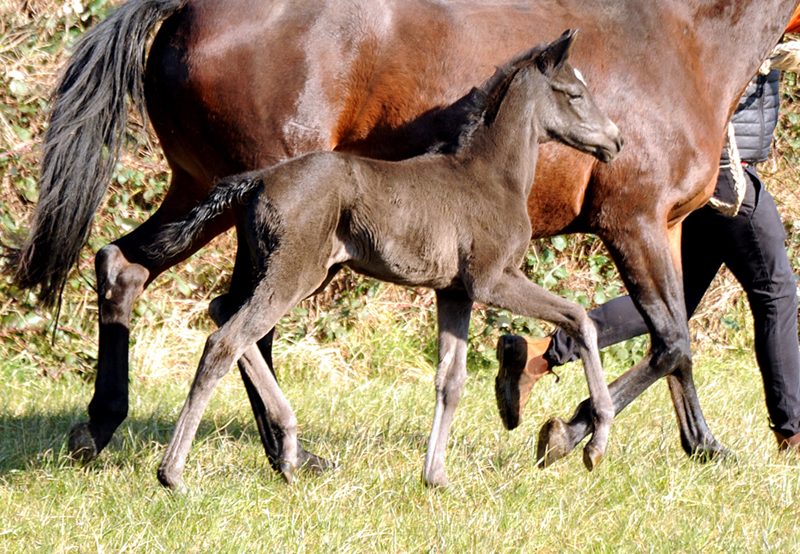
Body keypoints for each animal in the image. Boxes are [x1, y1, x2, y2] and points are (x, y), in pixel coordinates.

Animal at [152, 34, 624, 488]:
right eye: (574, 94)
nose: (616, 140)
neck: (491, 177)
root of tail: (258, 179)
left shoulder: (454, 292)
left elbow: (450, 380)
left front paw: (436, 478)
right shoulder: (491, 280)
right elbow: (579, 318)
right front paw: (596, 441)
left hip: (290, 269)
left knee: (222, 311)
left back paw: (287, 449)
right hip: (295, 272)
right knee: (224, 341)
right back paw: (174, 474)